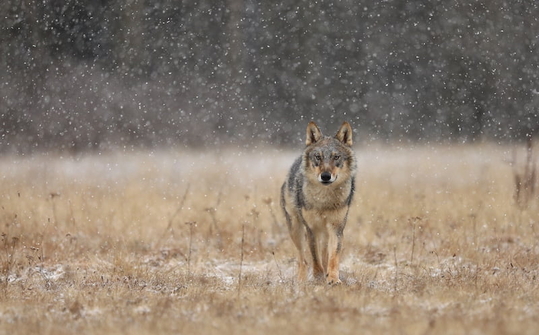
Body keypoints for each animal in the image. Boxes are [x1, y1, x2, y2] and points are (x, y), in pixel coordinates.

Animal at [280, 122, 356, 284]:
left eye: (336, 157)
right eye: (318, 157)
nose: (325, 176)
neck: (324, 200)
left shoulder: (336, 228)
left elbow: (333, 257)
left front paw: (333, 278)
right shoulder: (311, 229)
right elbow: (314, 258)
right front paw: (318, 276)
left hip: (325, 232)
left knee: (324, 253)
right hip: (295, 229)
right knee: (303, 259)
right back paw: (301, 280)